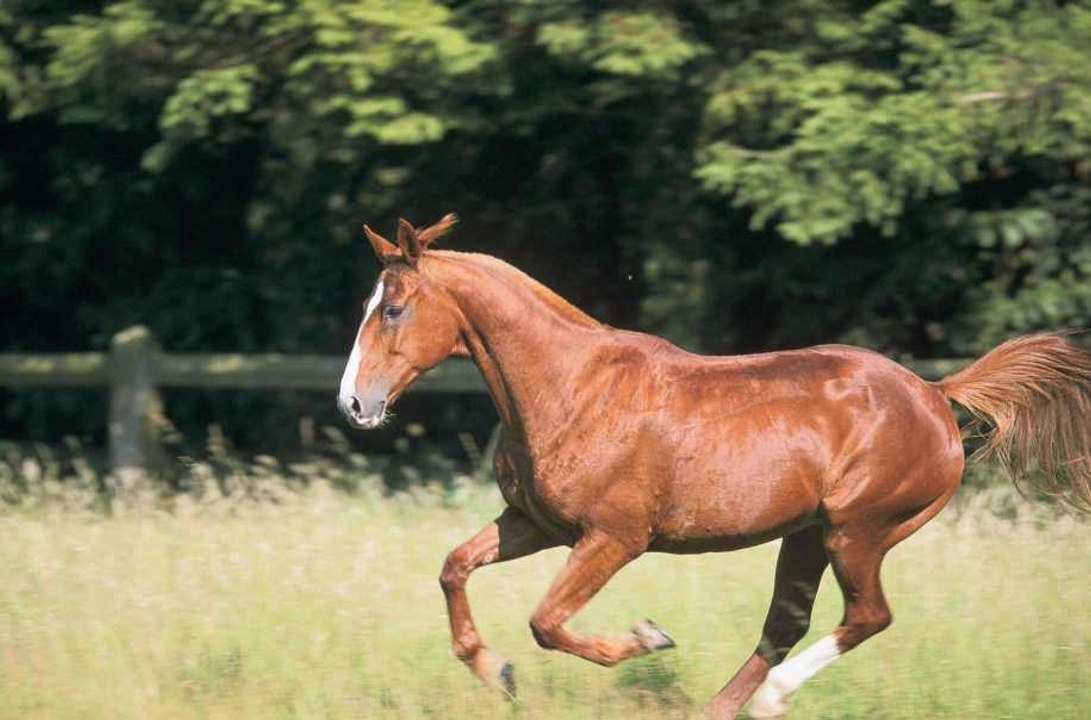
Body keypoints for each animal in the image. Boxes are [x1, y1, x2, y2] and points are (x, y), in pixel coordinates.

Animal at [337, 214, 1091, 718]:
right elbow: (454, 568)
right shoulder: (534, 524)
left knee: (866, 616)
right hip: (807, 534)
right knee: (785, 624)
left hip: (859, 530)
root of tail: (935, 394)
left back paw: (772, 699)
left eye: (393, 308)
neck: (570, 388)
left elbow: (547, 622)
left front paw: (647, 638)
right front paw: (497, 672)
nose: (353, 404)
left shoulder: (614, 538)